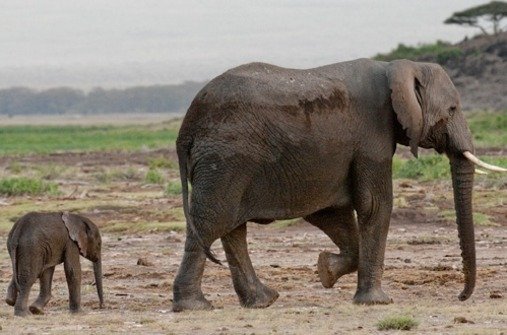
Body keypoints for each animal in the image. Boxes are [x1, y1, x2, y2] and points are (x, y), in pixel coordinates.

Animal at [173, 57, 506, 312]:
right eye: (452, 110)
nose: (461, 297)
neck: (397, 68)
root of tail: (187, 125)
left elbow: (332, 213)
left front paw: (325, 271)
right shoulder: (373, 140)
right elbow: (375, 205)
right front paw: (377, 302)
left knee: (231, 228)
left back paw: (262, 301)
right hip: (226, 158)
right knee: (212, 222)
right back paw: (194, 307)